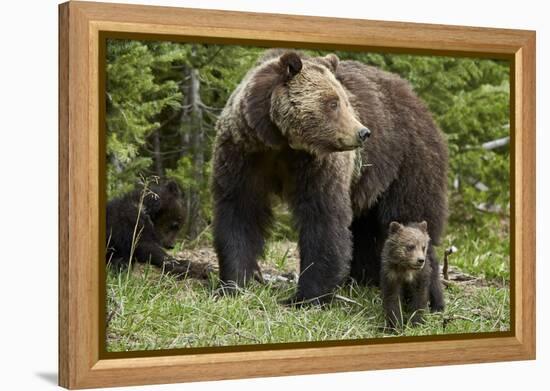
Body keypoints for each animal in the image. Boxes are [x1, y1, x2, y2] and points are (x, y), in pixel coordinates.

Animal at [211, 49, 448, 310]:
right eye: (332, 103)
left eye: (345, 101)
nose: (363, 132)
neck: (281, 142)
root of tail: (418, 101)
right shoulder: (243, 154)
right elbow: (239, 212)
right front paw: (233, 284)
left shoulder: (318, 166)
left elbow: (324, 220)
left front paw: (304, 298)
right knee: (367, 229)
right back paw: (364, 279)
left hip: (408, 162)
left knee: (410, 216)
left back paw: (429, 298)